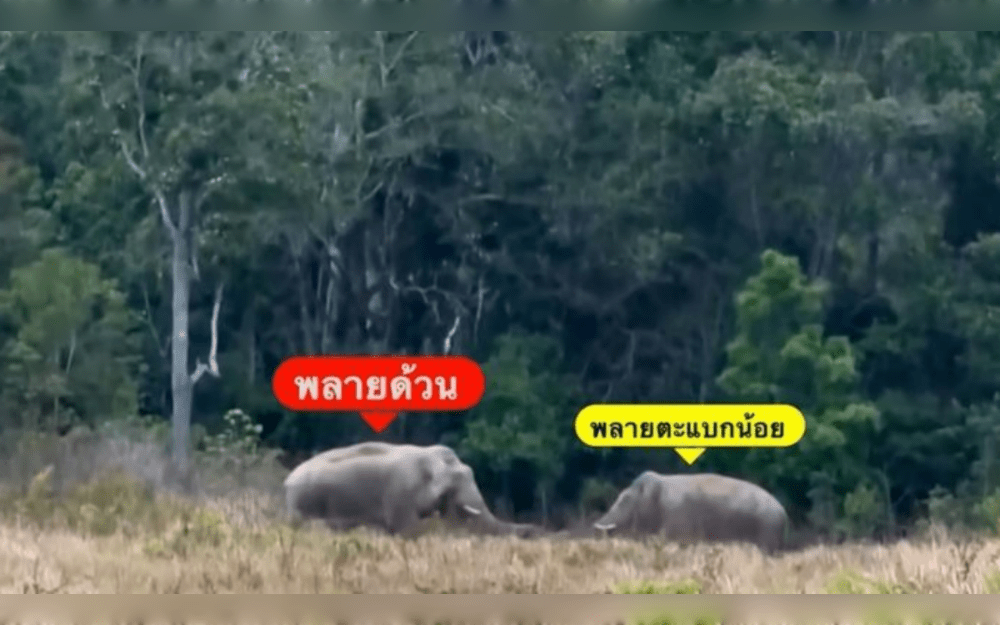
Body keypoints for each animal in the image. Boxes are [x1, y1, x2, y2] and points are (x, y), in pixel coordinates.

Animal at [283, 442, 543, 538]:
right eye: (460, 479)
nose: (535, 528)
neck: (427, 455)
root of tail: (287, 481)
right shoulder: (399, 492)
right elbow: (407, 529)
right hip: (303, 504)